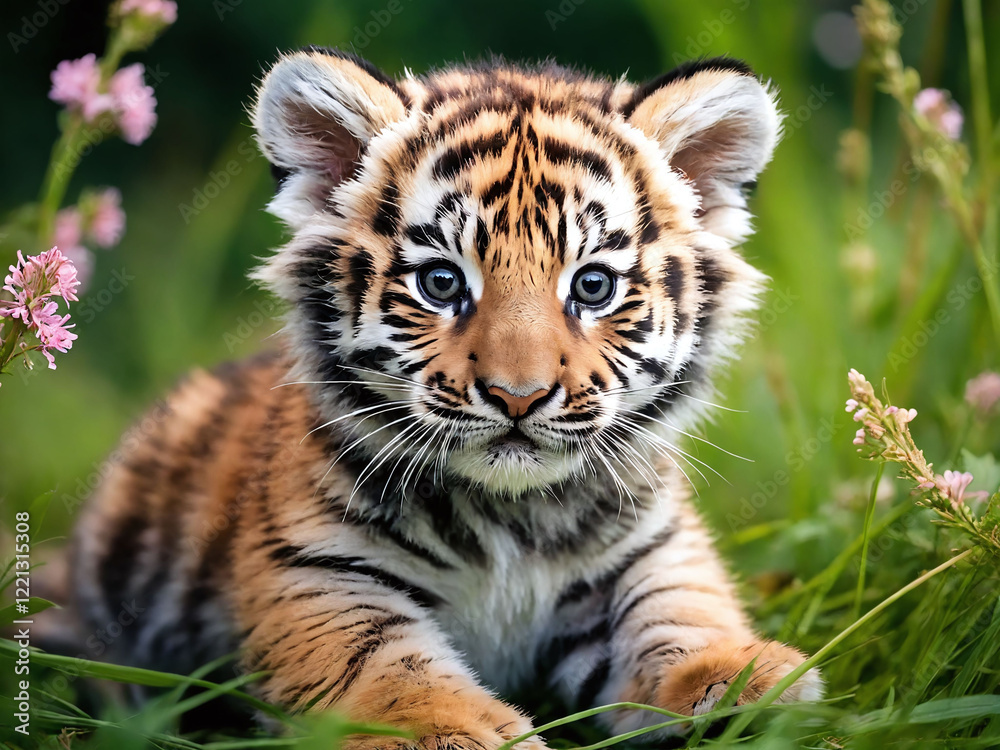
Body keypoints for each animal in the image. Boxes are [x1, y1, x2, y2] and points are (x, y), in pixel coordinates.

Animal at [67, 48, 823, 748]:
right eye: (441, 282)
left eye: (592, 286)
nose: (519, 397)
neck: (513, 518)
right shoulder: (318, 573)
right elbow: (379, 666)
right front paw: (449, 731)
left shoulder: (649, 550)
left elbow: (680, 611)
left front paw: (748, 681)